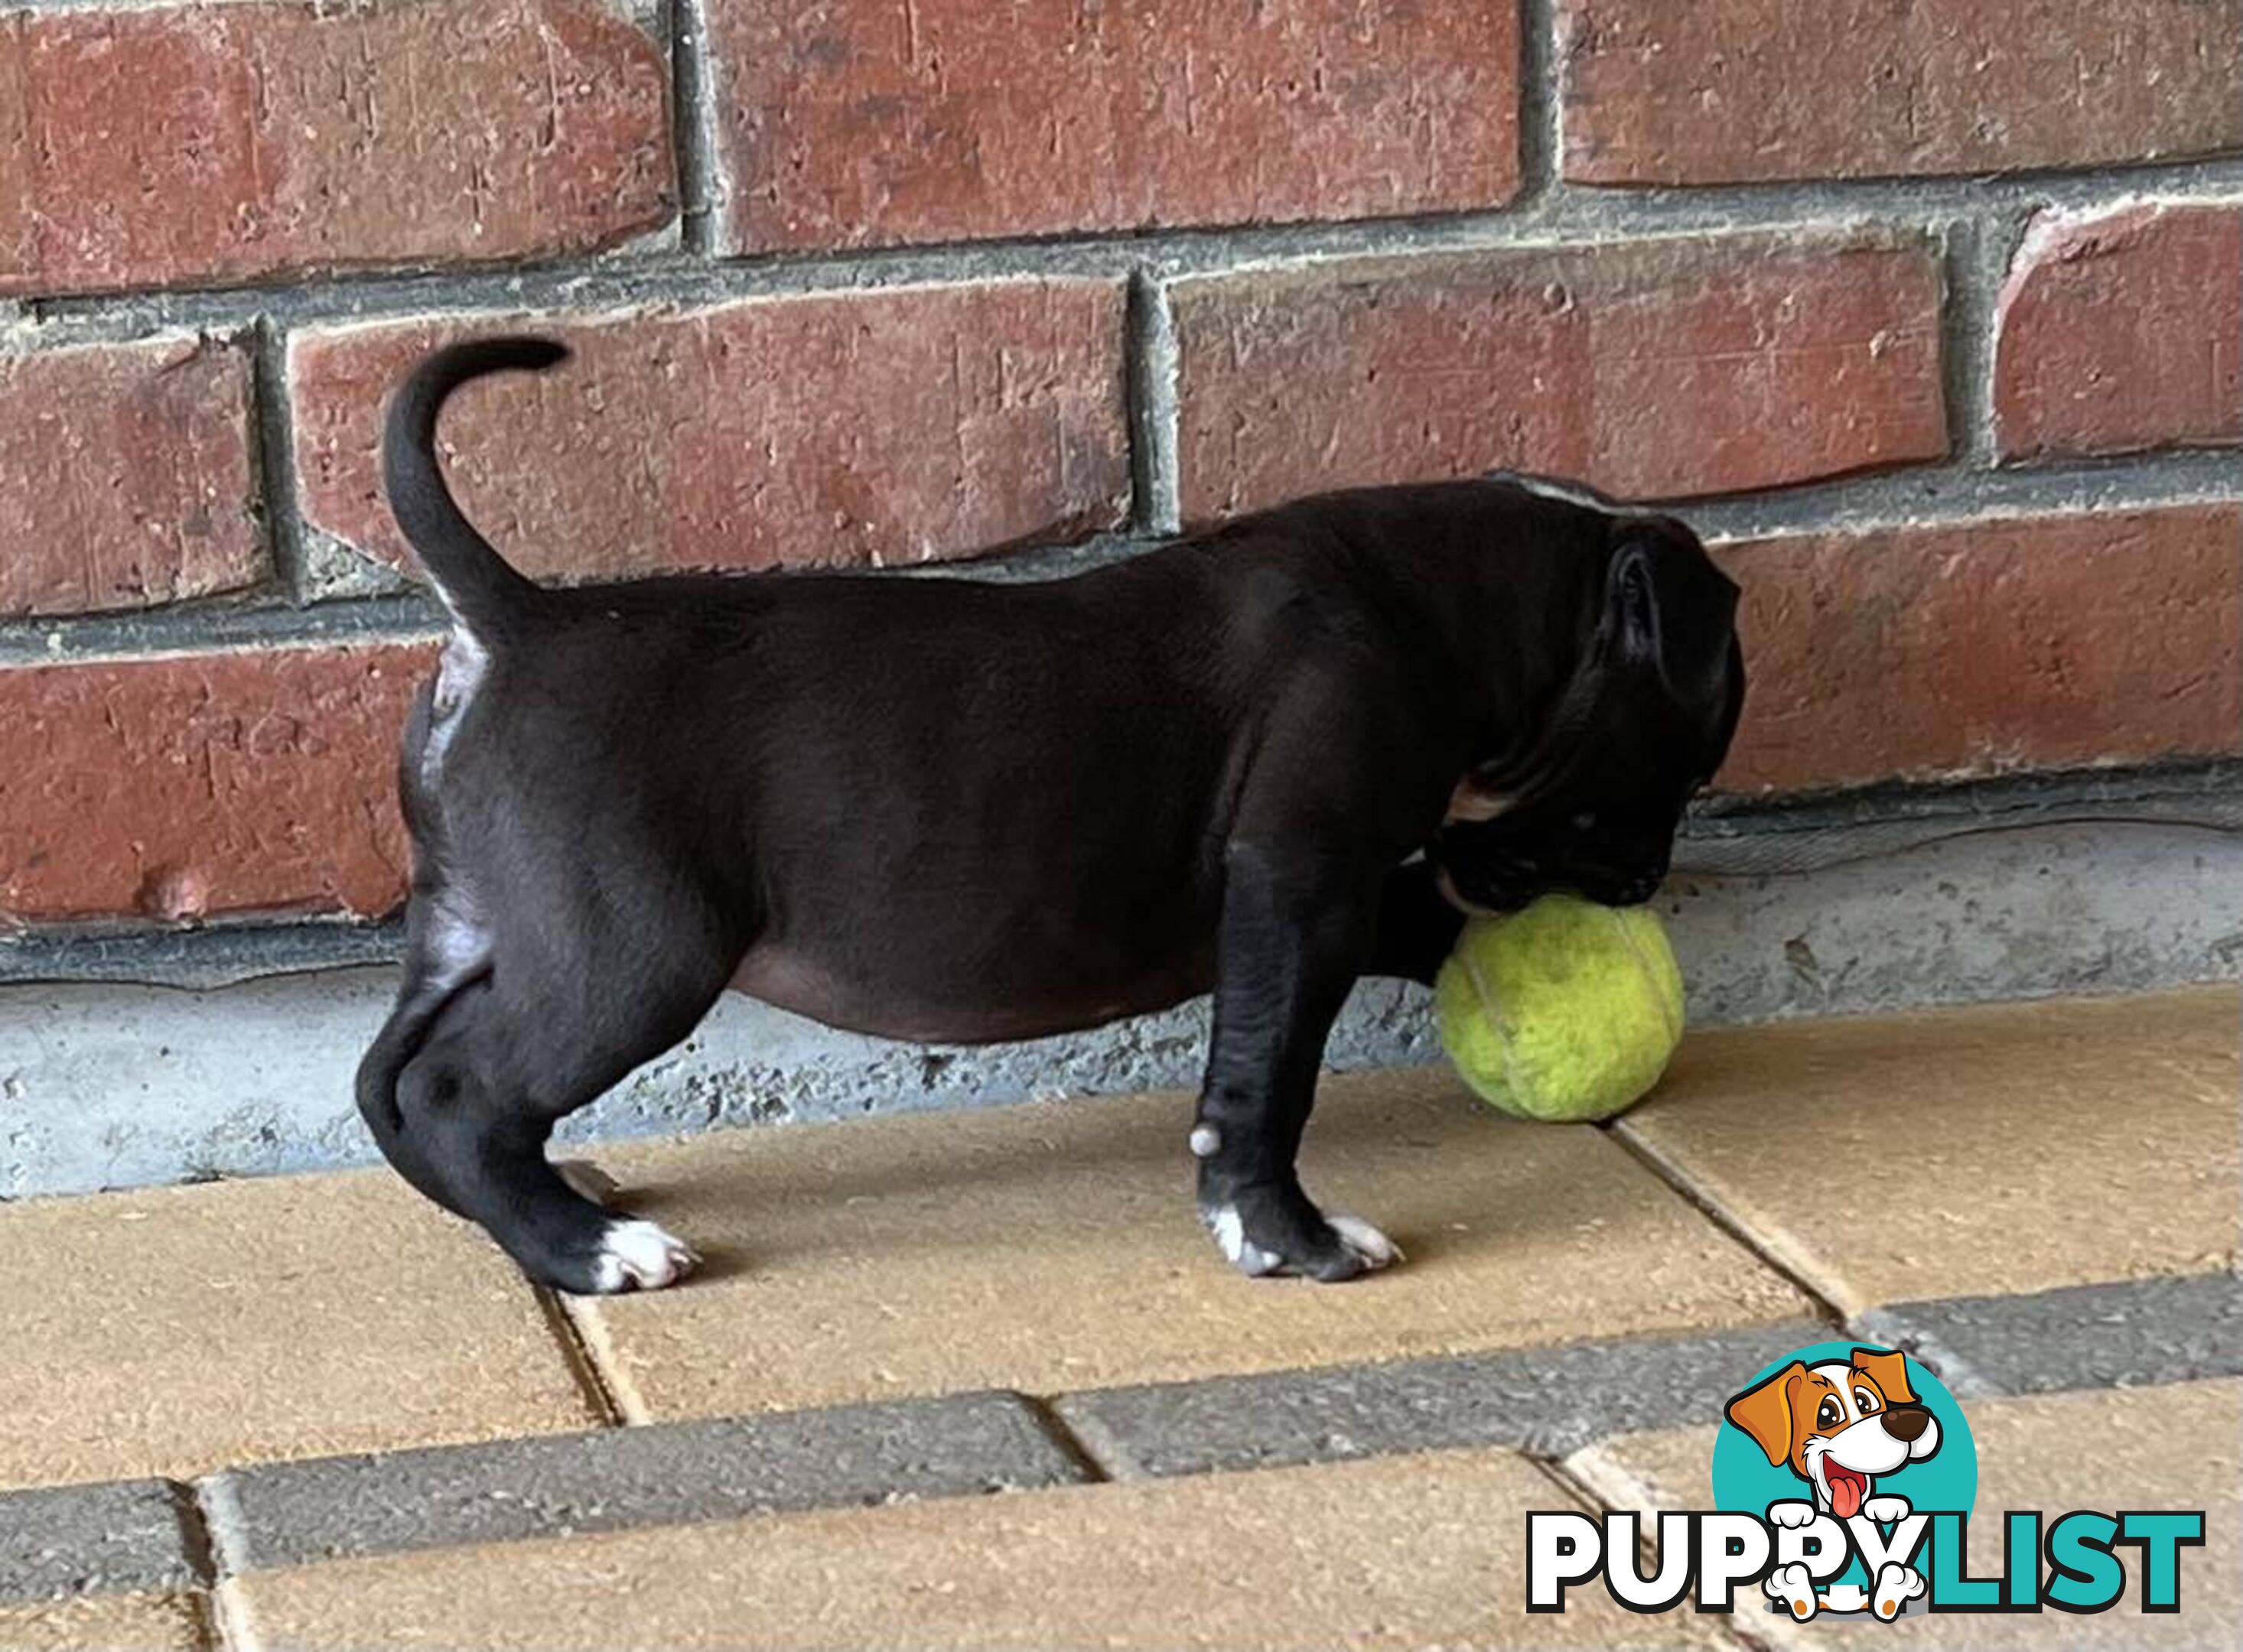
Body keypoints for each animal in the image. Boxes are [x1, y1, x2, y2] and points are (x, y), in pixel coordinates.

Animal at [359, 336, 1740, 1291]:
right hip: (637, 952)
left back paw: (526, 1219)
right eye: (1675, 769)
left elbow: (1410, 923)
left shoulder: (1342, 885)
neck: (1448, 607)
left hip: (474, 921)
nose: (1641, 886)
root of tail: (517, 618)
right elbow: (1267, 1072)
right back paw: (588, 1251)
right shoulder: (1300, 882)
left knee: (395, 1080)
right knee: (464, 1091)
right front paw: (1283, 1238)